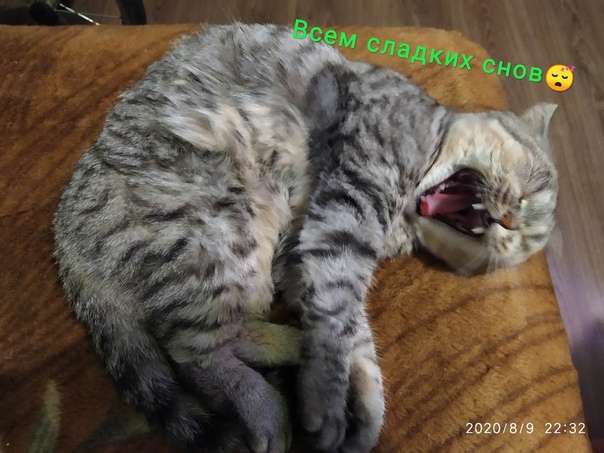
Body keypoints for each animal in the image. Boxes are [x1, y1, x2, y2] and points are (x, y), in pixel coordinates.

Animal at [51, 23, 558, 453]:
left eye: (519, 244)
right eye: (532, 185)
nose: (511, 221)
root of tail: (66, 243)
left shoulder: (305, 253)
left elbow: (348, 328)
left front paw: (364, 406)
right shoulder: (349, 206)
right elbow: (337, 318)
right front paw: (328, 398)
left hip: (241, 260)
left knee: (225, 334)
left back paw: (290, 353)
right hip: (217, 231)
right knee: (193, 354)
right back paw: (267, 407)